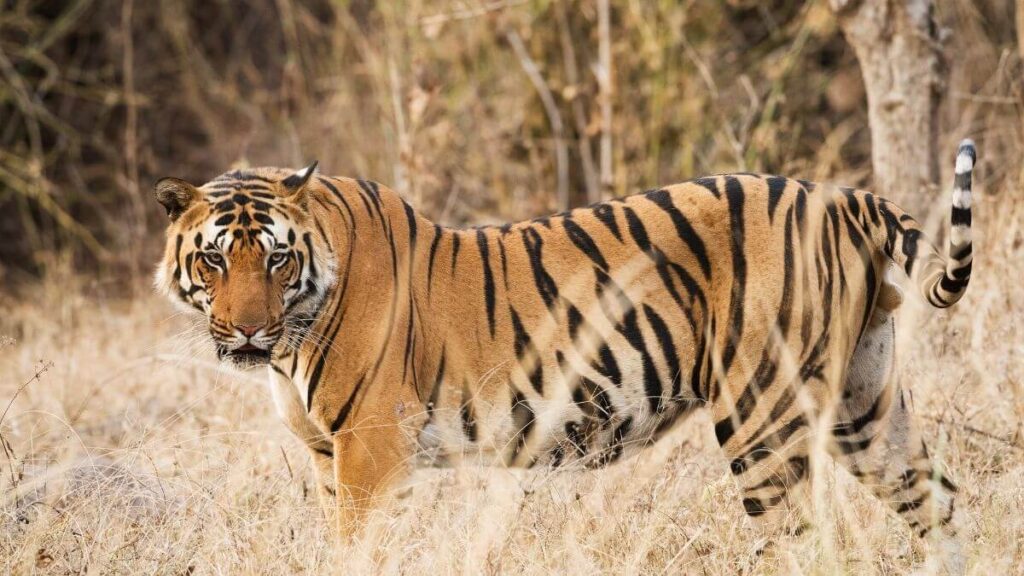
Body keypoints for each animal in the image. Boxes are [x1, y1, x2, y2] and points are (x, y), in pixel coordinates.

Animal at [151, 139, 974, 569]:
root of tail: (843, 197)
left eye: (276, 259)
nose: (247, 332)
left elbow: (358, 553)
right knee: (940, 501)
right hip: (865, 405)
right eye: (216, 260)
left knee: (804, 544)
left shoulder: (371, 448)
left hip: (761, 417)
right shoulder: (330, 454)